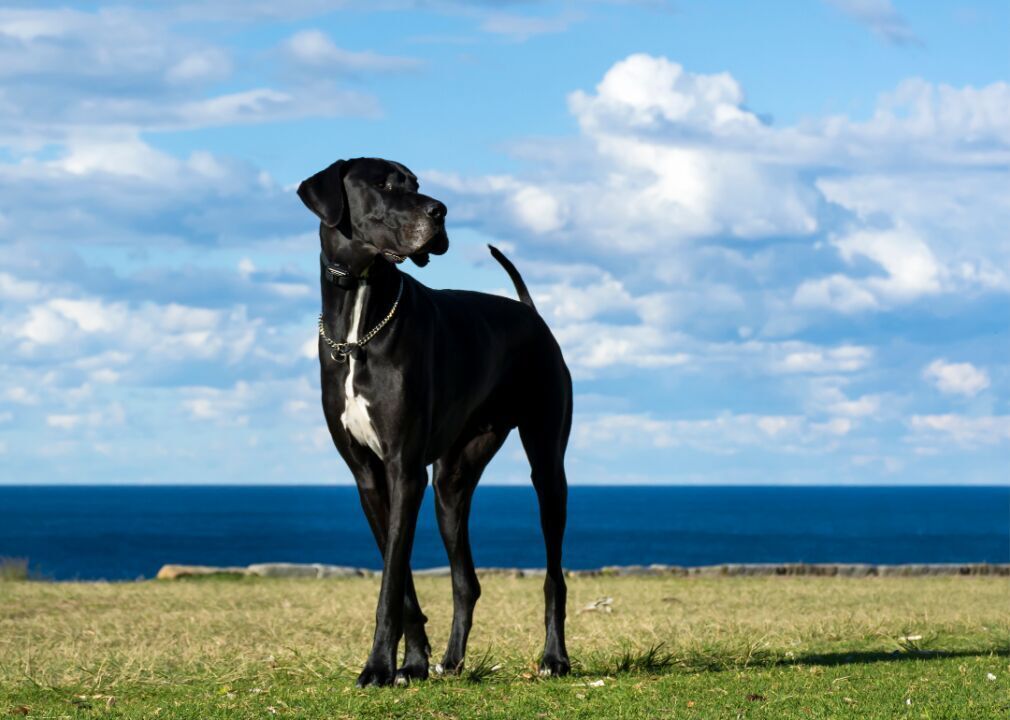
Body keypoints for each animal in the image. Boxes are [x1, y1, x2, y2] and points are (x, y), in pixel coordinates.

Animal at [294, 155, 573, 686]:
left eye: (417, 183)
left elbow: (390, 581)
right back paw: (452, 661)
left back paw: (554, 658)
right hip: (451, 482)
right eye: (384, 185)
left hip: (547, 466)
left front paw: (379, 667)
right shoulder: (370, 476)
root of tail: (530, 313)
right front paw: (413, 664)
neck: (359, 318)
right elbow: (399, 578)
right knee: (466, 581)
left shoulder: (404, 470)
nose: (440, 211)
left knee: (554, 576)